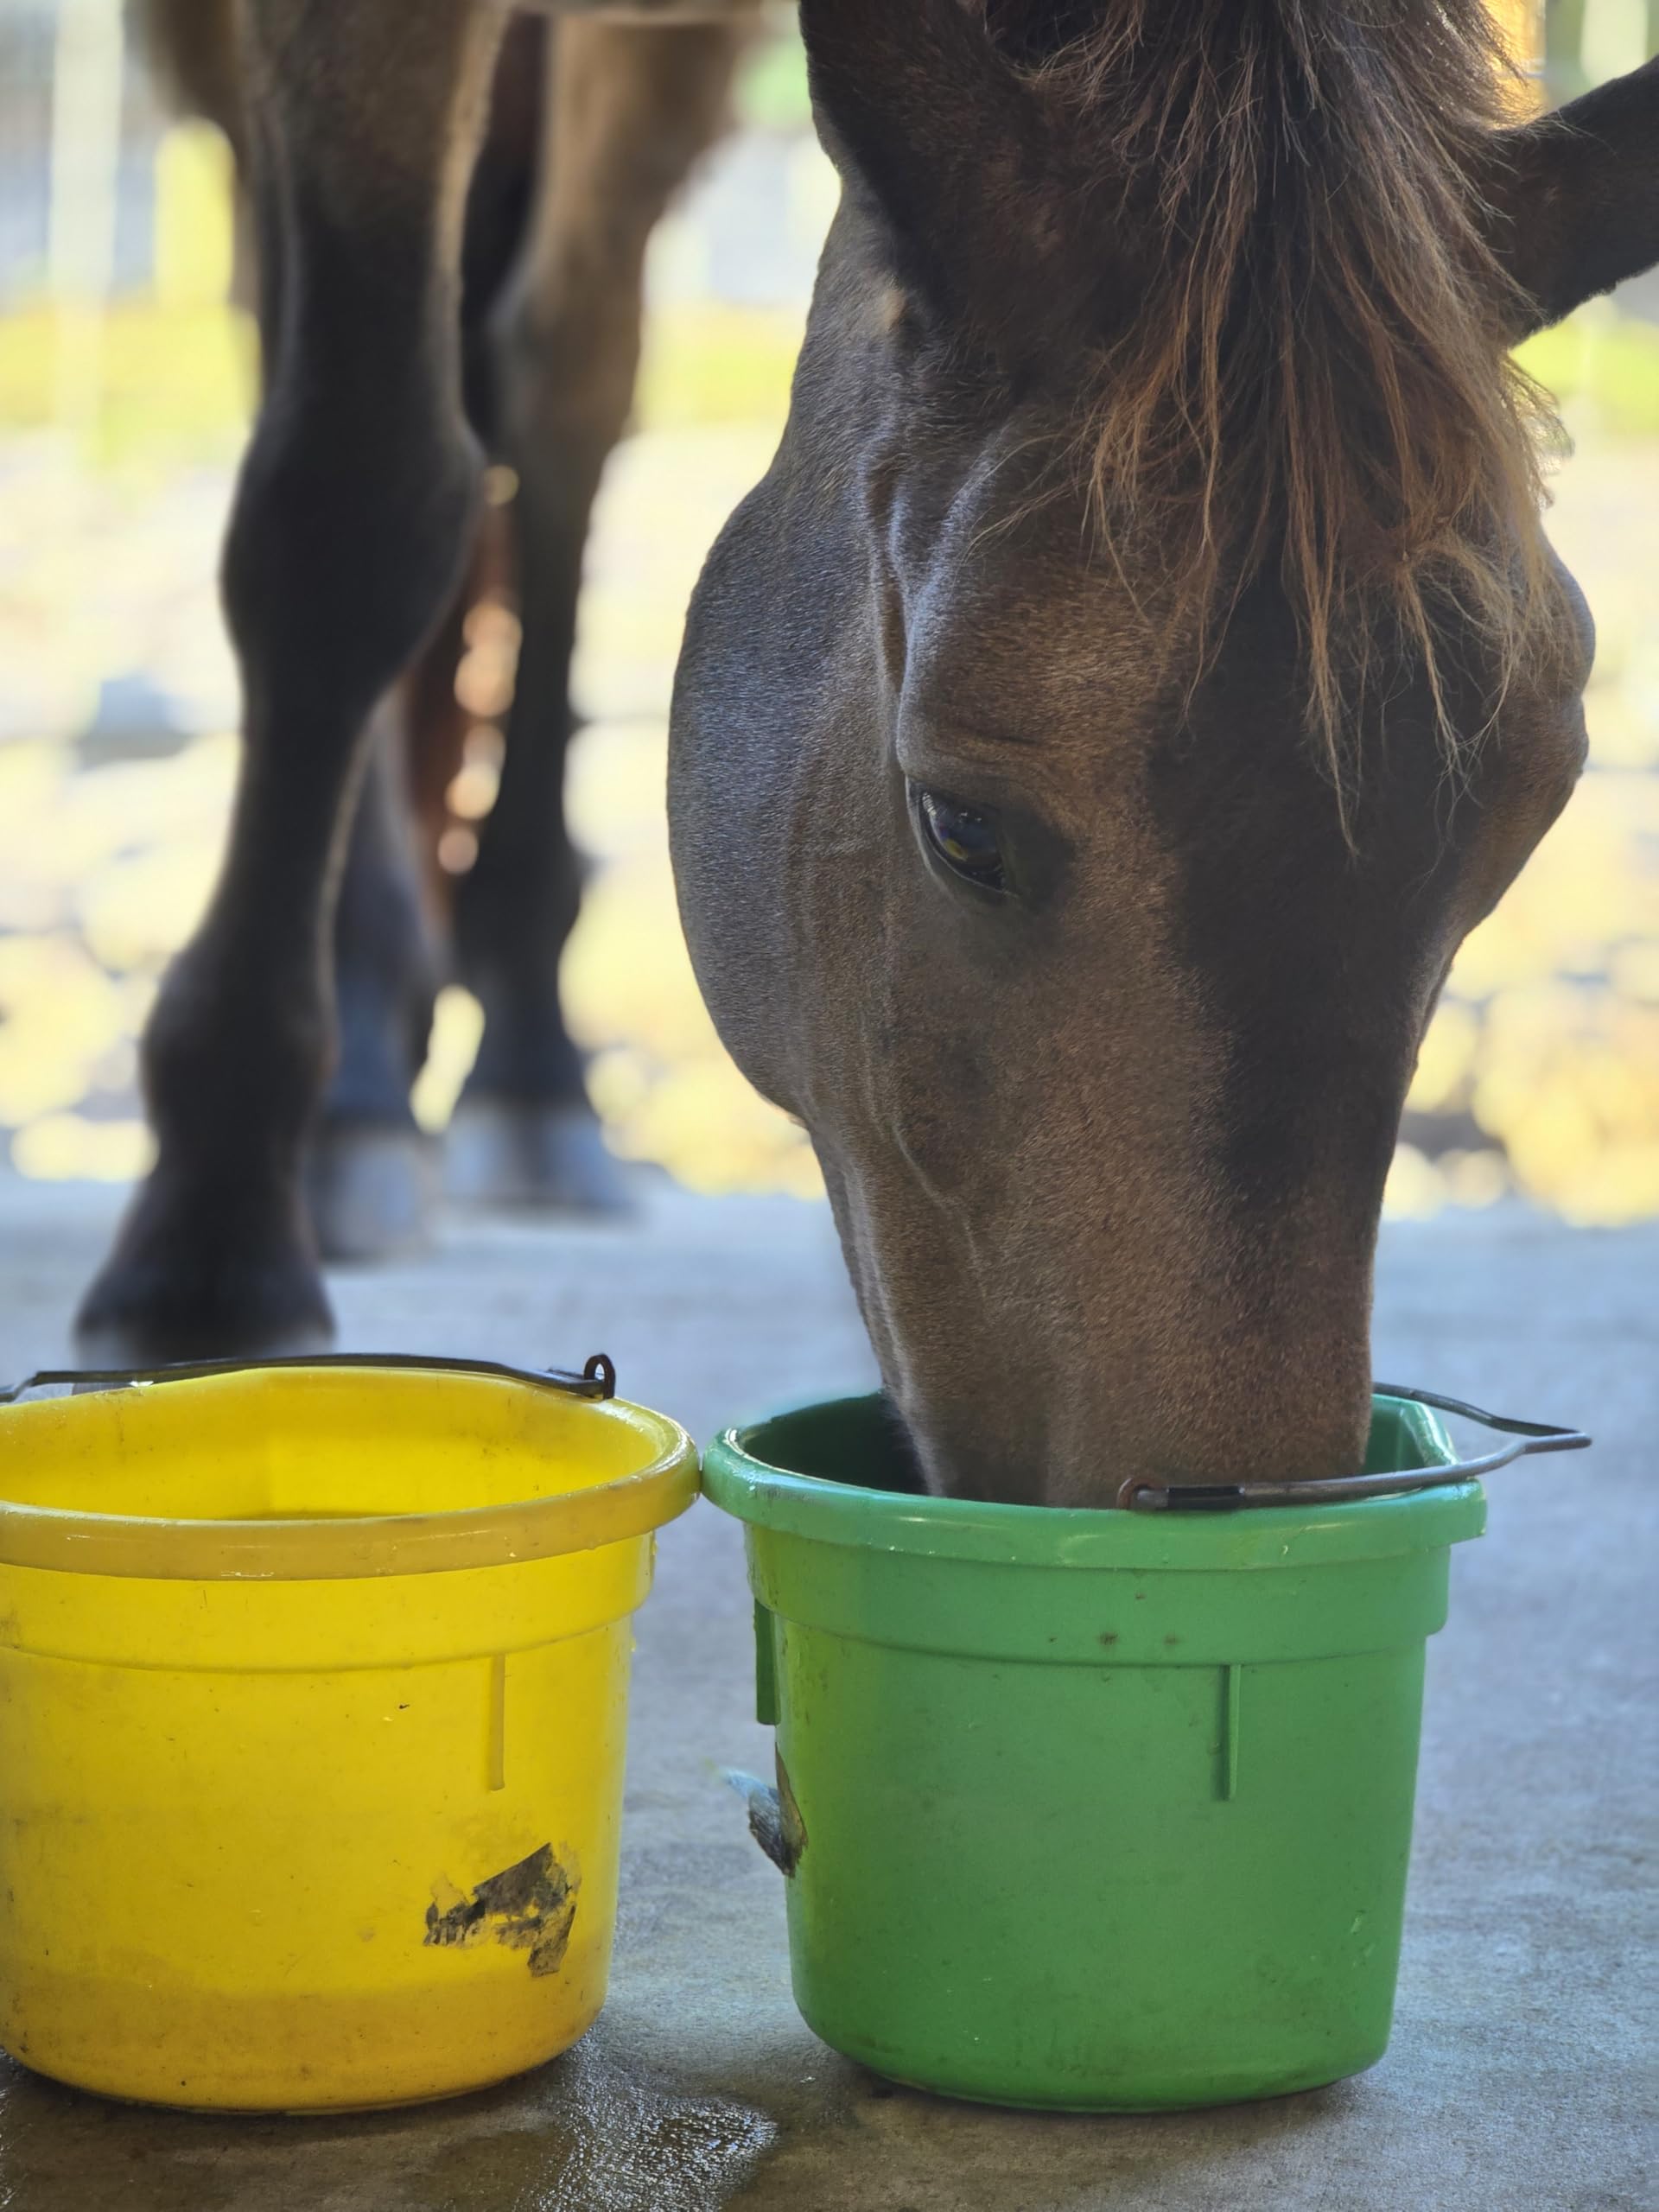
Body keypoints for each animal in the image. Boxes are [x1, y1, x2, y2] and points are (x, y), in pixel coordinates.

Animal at [79, 4, 1658, 1510]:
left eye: (1520, 830)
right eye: (961, 830)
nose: (1218, 1497)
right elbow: (353, 497)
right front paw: (208, 1238)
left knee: (563, 383)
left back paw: (522, 1065)